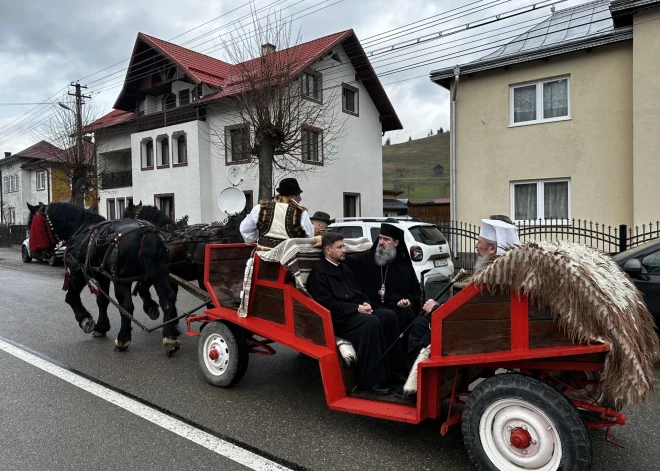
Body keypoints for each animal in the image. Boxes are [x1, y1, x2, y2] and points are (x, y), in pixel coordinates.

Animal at [26, 202, 180, 354]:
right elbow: (102, 301)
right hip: (160, 273)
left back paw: (123, 339)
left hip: (122, 280)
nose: (35, 252)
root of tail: (147, 233)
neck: (81, 229)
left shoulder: (79, 273)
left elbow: (71, 297)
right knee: (167, 298)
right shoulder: (102, 276)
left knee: (126, 306)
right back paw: (170, 335)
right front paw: (102, 326)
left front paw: (86, 320)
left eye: (31, 224)